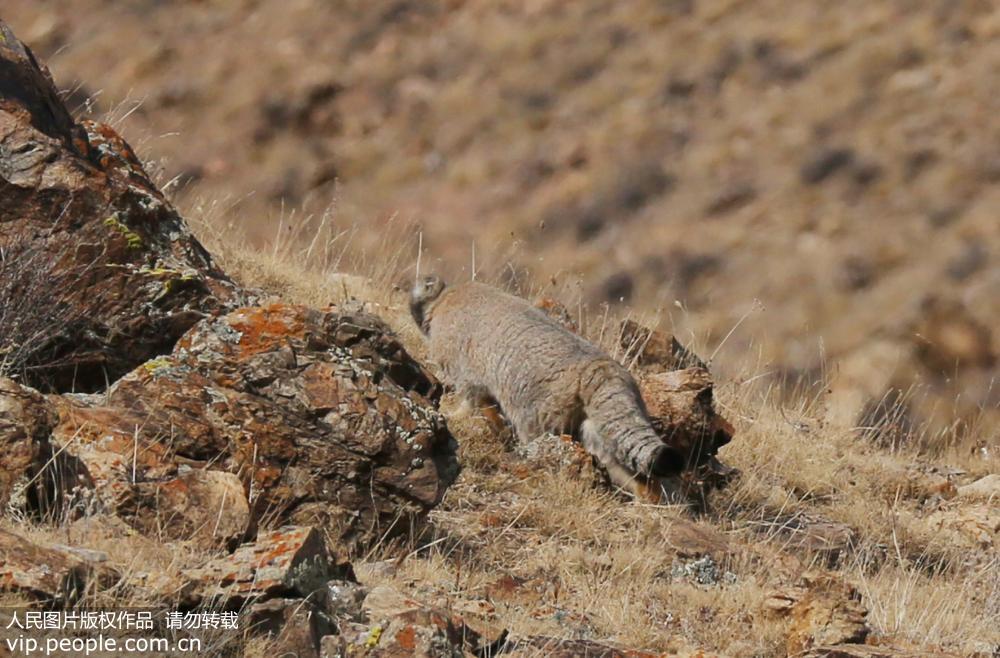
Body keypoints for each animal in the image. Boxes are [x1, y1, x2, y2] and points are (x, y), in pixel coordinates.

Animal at [408, 274, 688, 480]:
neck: (445, 299)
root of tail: (601, 369)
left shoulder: (467, 373)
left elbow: (469, 400)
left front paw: (453, 414)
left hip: (534, 414)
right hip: (597, 430)